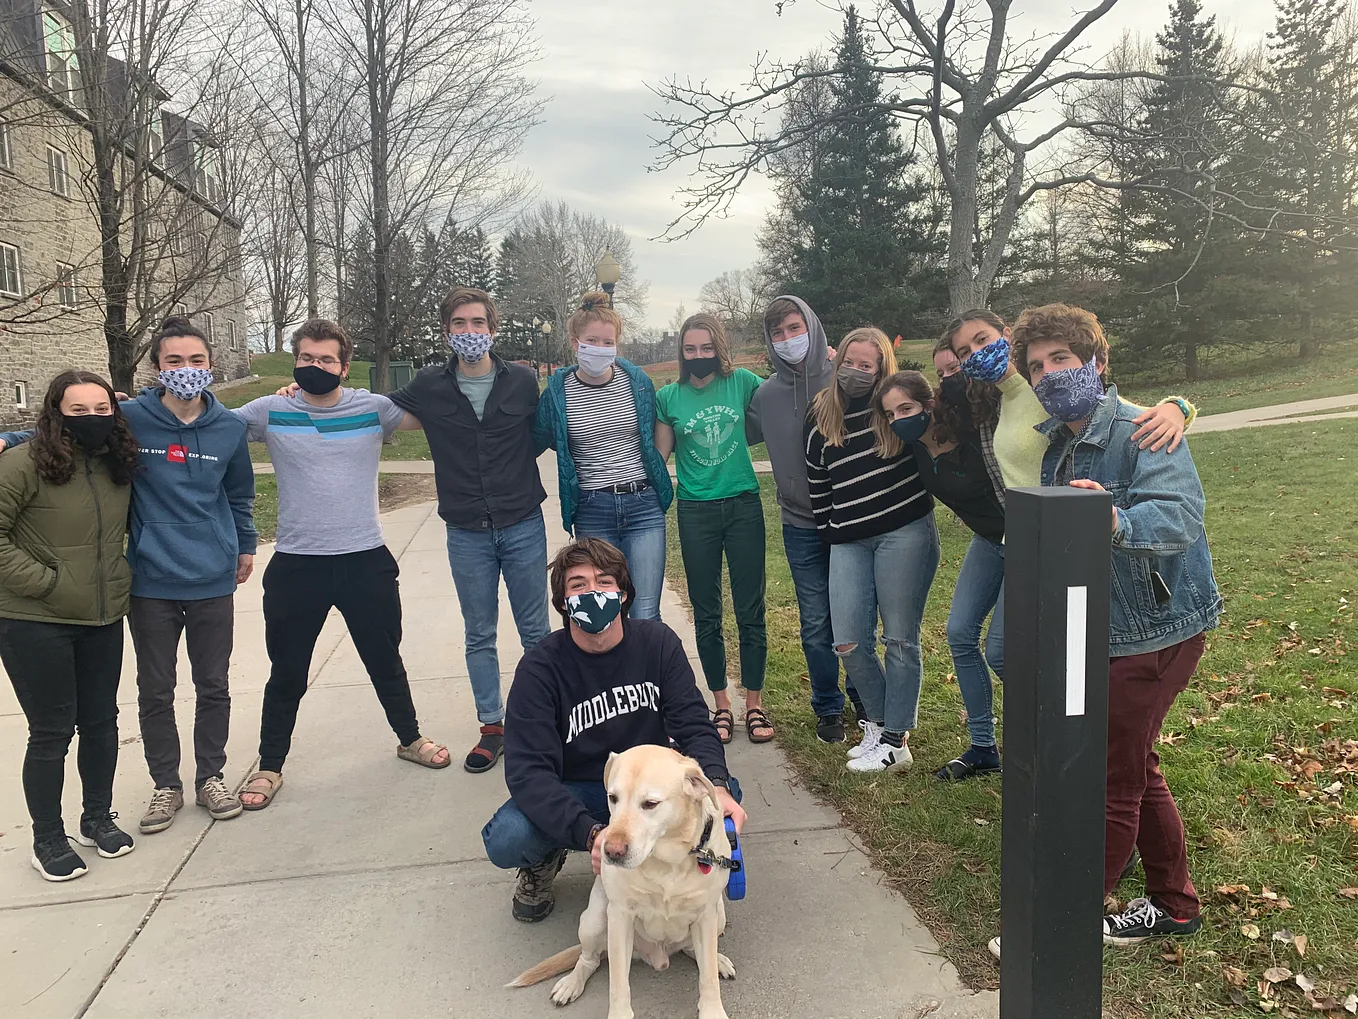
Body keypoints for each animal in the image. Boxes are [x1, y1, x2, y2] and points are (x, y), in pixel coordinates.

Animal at [510, 744, 744, 1019]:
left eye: (650, 804)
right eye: (613, 798)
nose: (611, 851)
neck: (667, 863)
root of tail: (658, 955)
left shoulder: (706, 916)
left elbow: (707, 979)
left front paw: (712, 1009)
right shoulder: (620, 917)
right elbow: (618, 982)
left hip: (719, 916)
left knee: (693, 950)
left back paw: (717, 960)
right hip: (595, 920)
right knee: (589, 959)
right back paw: (571, 983)